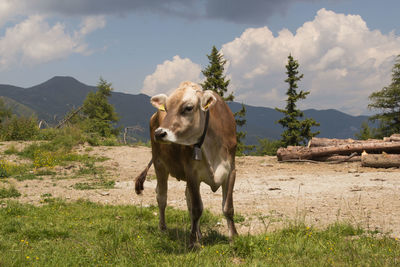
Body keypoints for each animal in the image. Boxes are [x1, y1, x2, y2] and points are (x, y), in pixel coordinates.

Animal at [136, 81, 238, 247]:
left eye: (188, 108)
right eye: (166, 108)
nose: (159, 133)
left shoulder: (231, 171)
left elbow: (228, 207)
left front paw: (233, 238)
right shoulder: (191, 173)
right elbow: (197, 208)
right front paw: (192, 243)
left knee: (187, 200)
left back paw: (199, 234)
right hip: (159, 164)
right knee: (161, 197)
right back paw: (163, 229)